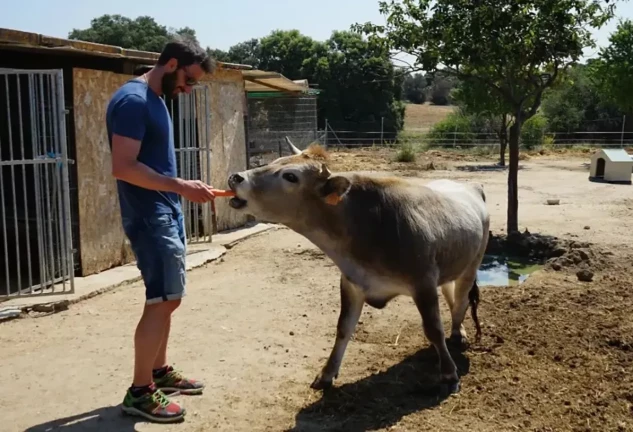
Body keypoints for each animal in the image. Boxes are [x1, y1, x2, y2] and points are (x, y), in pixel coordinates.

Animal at [227, 139, 488, 394]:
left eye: (290, 176)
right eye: (277, 160)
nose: (236, 177)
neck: (369, 226)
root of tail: (472, 187)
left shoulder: (422, 282)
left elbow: (433, 328)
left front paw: (449, 373)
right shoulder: (352, 282)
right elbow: (343, 328)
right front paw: (326, 374)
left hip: (472, 264)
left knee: (461, 300)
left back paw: (457, 333)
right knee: (453, 297)